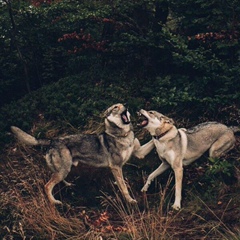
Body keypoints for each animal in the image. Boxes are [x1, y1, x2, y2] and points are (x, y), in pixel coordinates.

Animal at [10, 103, 154, 204]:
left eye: (122, 104)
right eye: (115, 107)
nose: (126, 105)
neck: (122, 135)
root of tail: (52, 140)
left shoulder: (136, 155)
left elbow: (120, 182)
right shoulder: (115, 166)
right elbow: (124, 187)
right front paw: (130, 201)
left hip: (64, 169)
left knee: (56, 179)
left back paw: (68, 185)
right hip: (63, 169)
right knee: (47, 186)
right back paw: (54, 202)